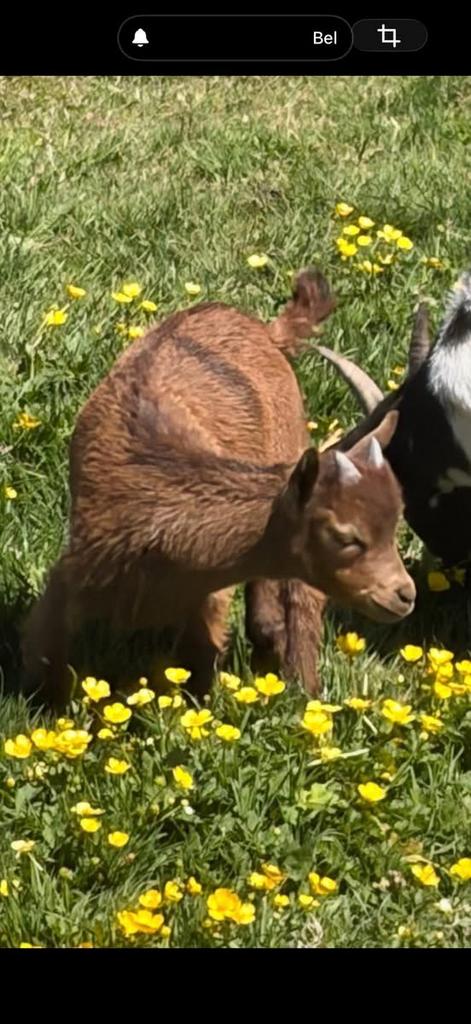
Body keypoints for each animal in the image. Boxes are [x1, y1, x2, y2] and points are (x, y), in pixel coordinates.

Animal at [21, 269, 415, 709]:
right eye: (345, 536)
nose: (405, 595)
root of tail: (265, 330)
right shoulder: (72, 578)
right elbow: (44, 663)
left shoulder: (209, 595)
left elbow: (198, 659)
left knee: (299, 593)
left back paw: (303, 688)